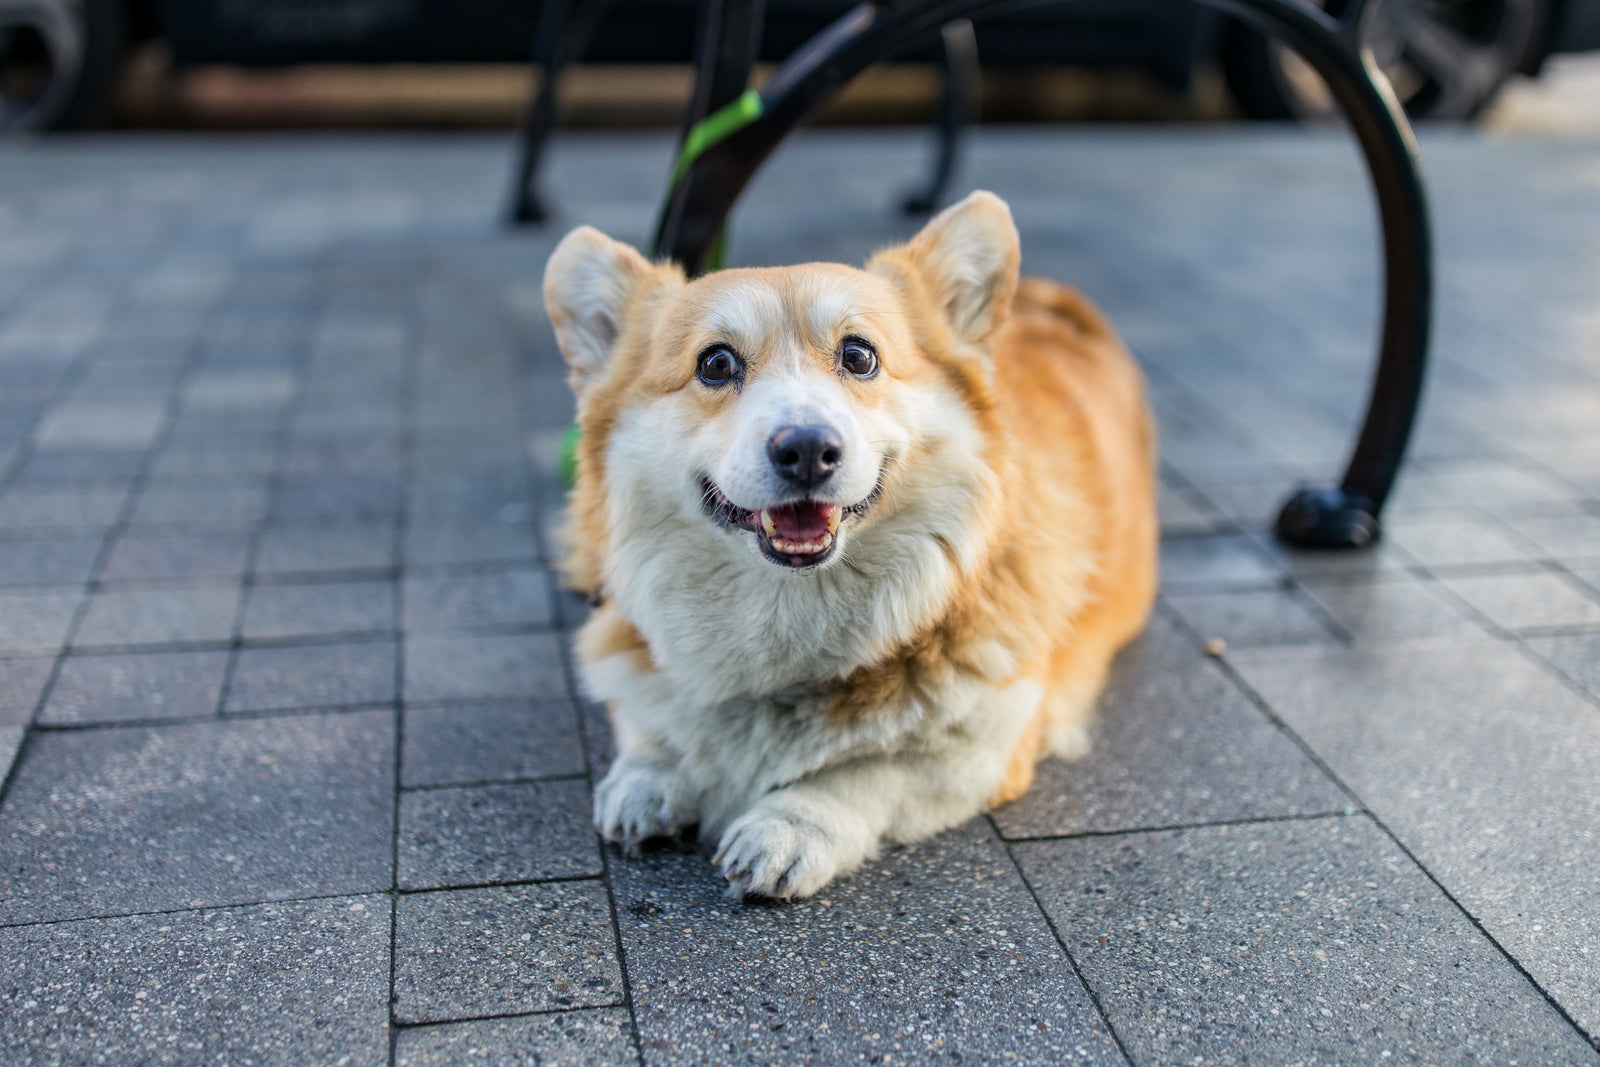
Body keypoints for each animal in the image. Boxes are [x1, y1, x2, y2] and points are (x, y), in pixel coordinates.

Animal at [544, 191, 1158, 902]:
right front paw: (649, 779)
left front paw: (789, 825)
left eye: (860, 356)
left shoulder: (989, 746)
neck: (789, 606)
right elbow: (648, 720)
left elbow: (870, 771)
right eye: (715, 364)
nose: (808, 449)